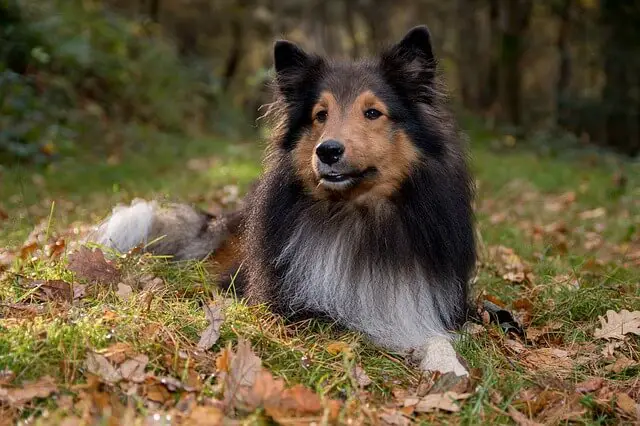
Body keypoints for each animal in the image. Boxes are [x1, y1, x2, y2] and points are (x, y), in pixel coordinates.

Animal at [92, 25, 478, 376]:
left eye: (372, 113)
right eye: (320, 115)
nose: (327, 151)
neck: (357, 215)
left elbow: (433, 333)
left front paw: (447, 363)